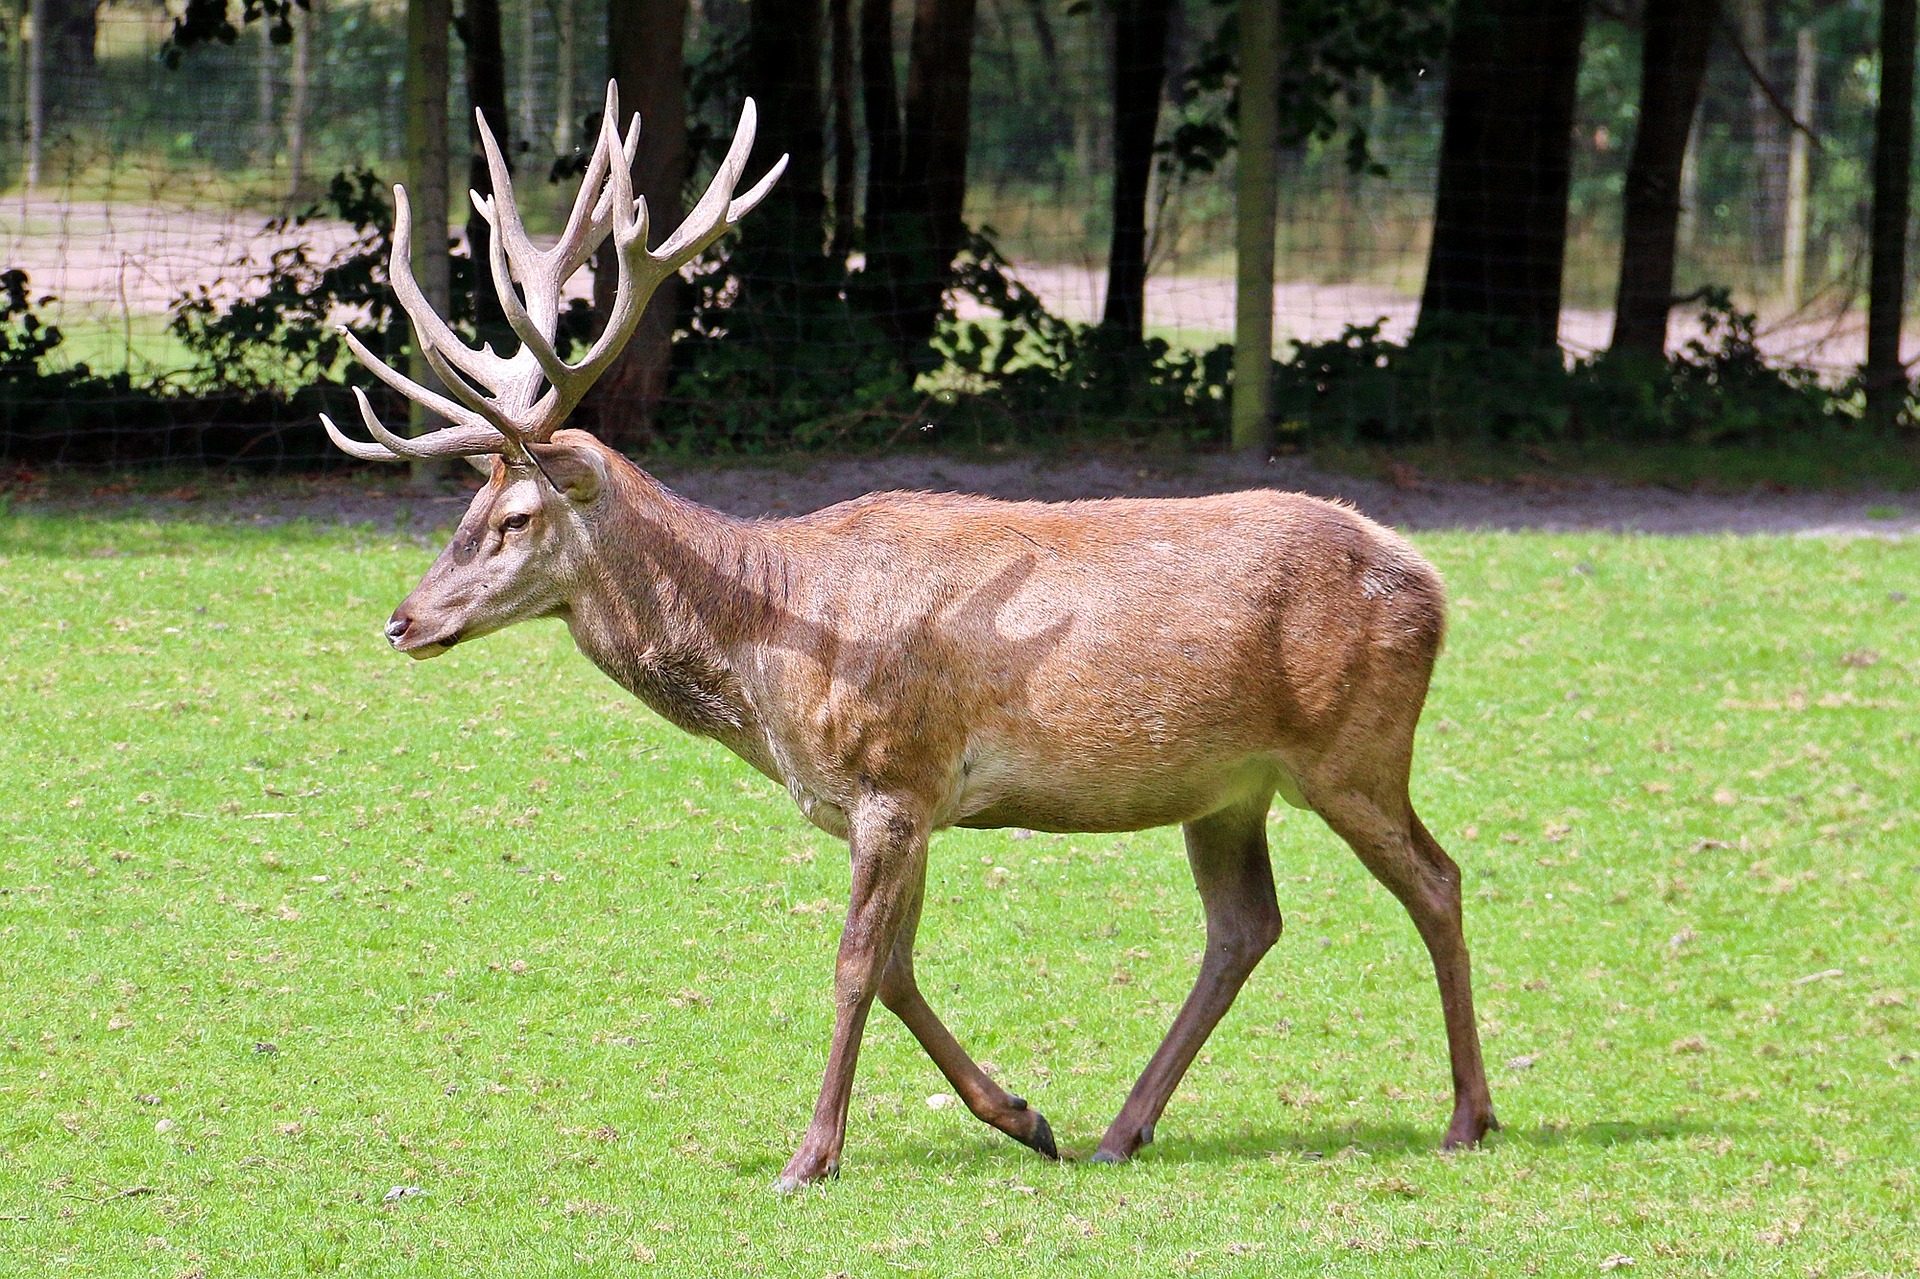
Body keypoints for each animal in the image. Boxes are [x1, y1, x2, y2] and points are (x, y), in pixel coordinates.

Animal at [322, 84, 1497, 1190]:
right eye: (466, 508)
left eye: (515, 518)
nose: (404, 619)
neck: (769, 651)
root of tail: (1430, 579)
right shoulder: (907, 802)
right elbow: (896, 969)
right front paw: (1024, 1117)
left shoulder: (894, 773)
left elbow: (852, 964)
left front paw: (810, 1157)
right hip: (1228, 787)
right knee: (1245, 925)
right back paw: (1121, 1130)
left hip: (1353, 749)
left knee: (1437, 880)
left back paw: (1466, 1118)